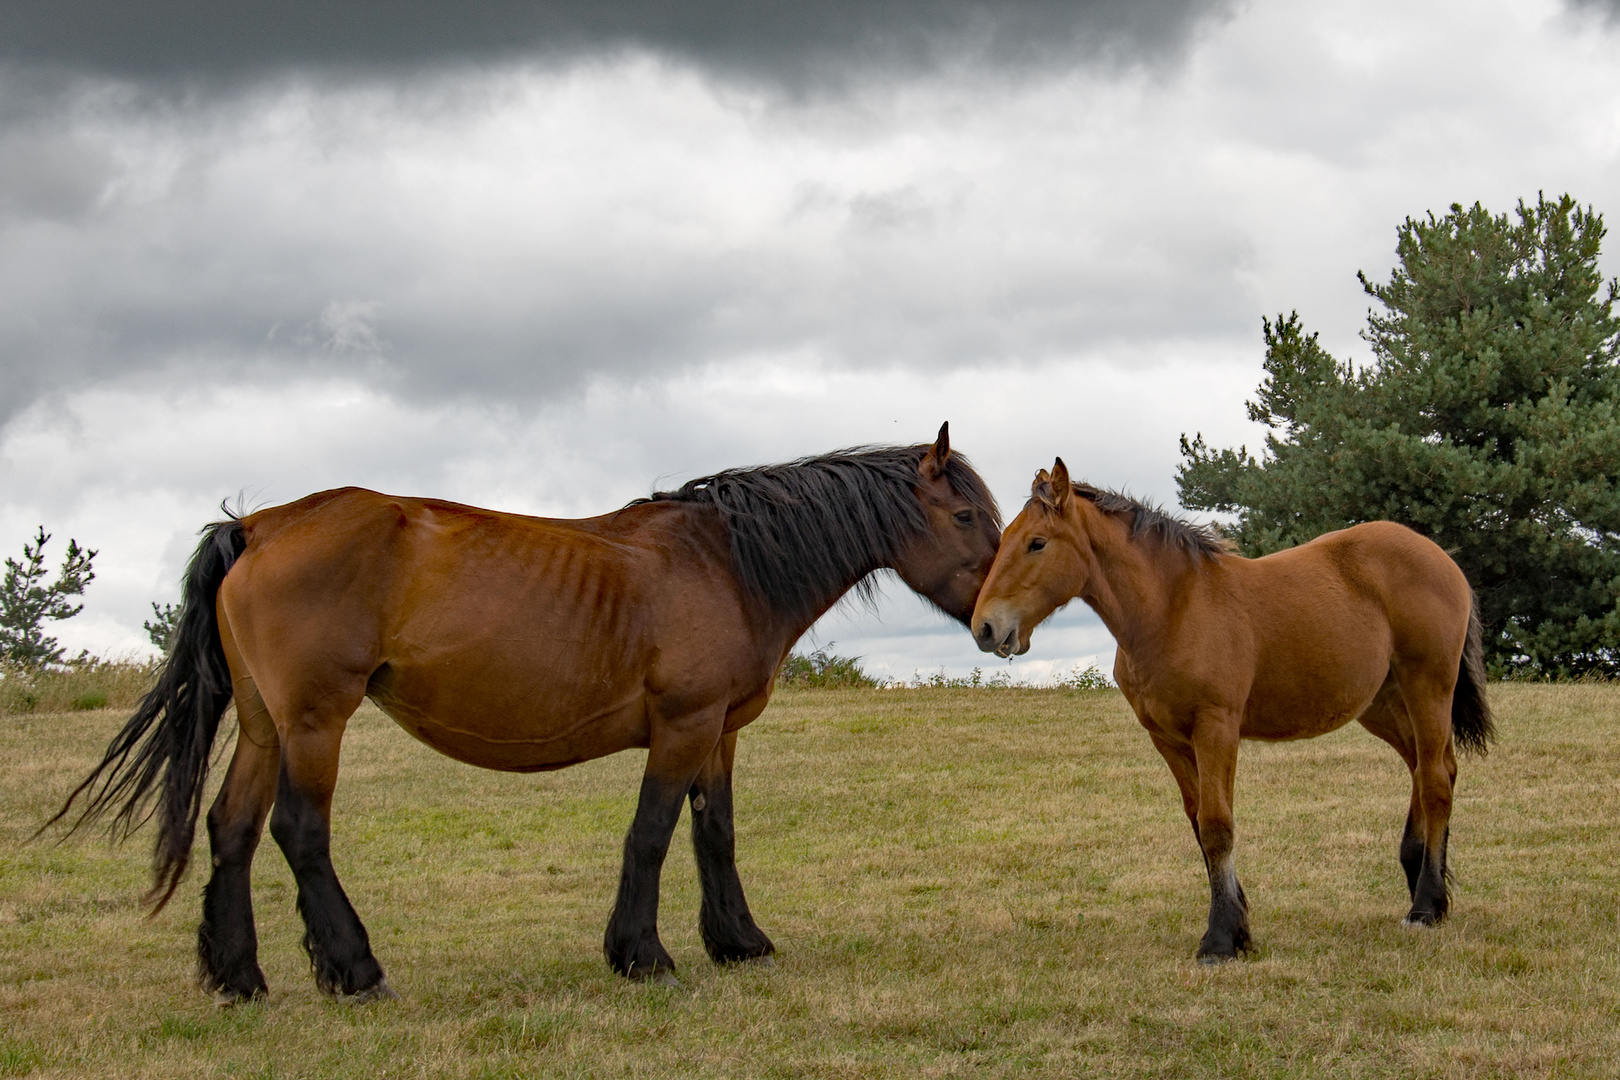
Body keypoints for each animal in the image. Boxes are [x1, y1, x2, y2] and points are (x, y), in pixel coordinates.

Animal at [53, 427, 997, 1003]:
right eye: (964, 514)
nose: (1000, 627)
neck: (725, 563)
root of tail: (260, 524)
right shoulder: (684, 727)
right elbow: (652, 835)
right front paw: (641, 956)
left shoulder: (719, 733)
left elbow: (715, 834)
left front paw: (739, 941)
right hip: (316, 722)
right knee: (298, 831)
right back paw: (356, 970)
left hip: (261, 724)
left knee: (233, 829)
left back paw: (239, 977)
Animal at [972, 456, 1490, 965]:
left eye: (1037, 543)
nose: (985, 628)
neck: (1173, 608)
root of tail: (1442, 559)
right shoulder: (1168, 739)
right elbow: (1198, 823)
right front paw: (1239, 928)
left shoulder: (1216, 727)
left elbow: (1217, 826)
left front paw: (1220, 940)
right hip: (1382, 704)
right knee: (1429, 769)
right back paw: (1426, 887)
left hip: (1428, 686)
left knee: (1435, 782)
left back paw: (1425, 906)